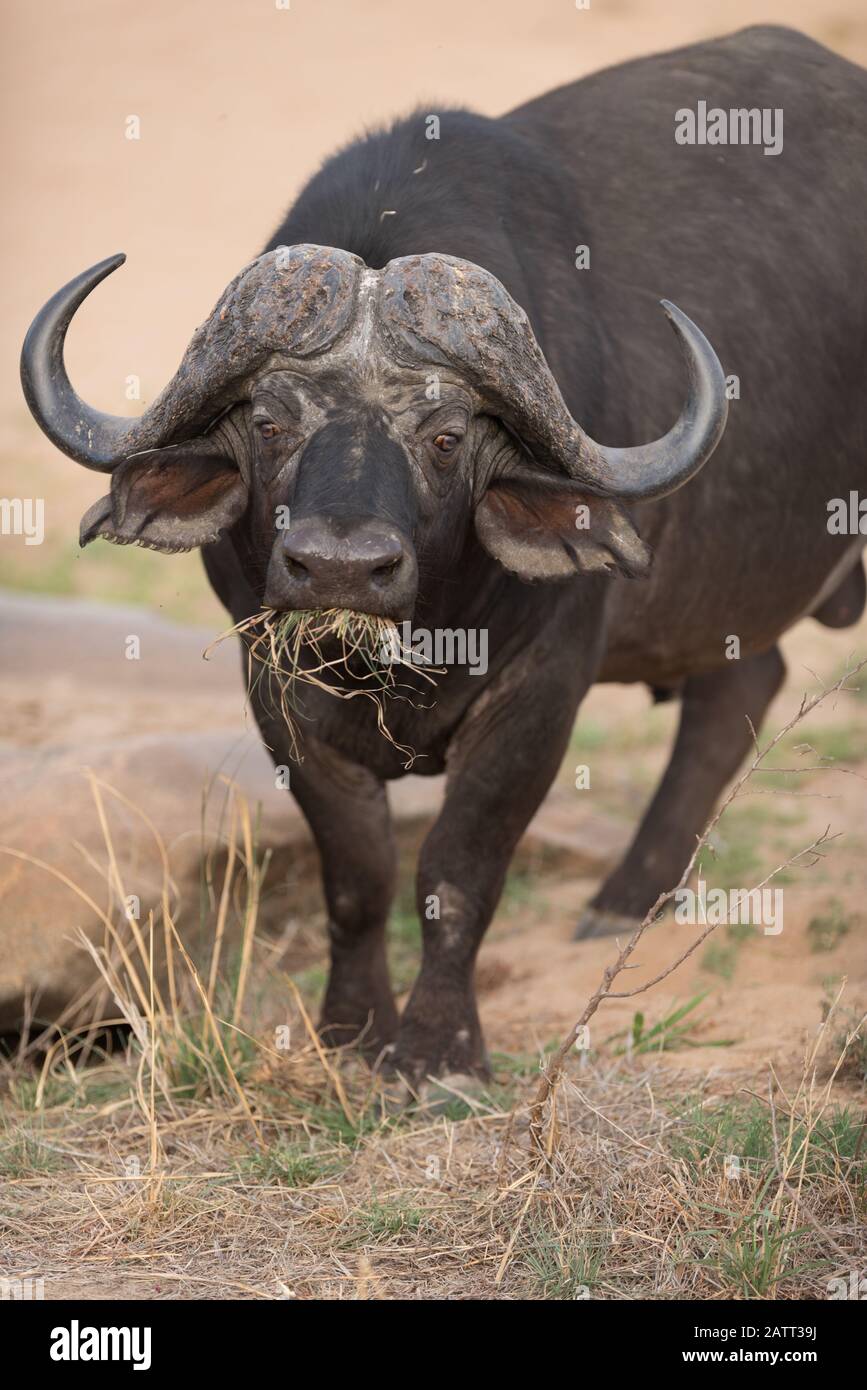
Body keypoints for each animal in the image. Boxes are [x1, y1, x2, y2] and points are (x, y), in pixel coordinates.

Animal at [22, 24, 867, 1084]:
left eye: (447, 436)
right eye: (268, 421)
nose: (340, 568)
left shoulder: (541, 688)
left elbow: (457, 870)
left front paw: (437, 1052)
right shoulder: (273, 683)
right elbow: (358, 874)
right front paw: (352, 1033)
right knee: (739, 686)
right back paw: (624, 900)